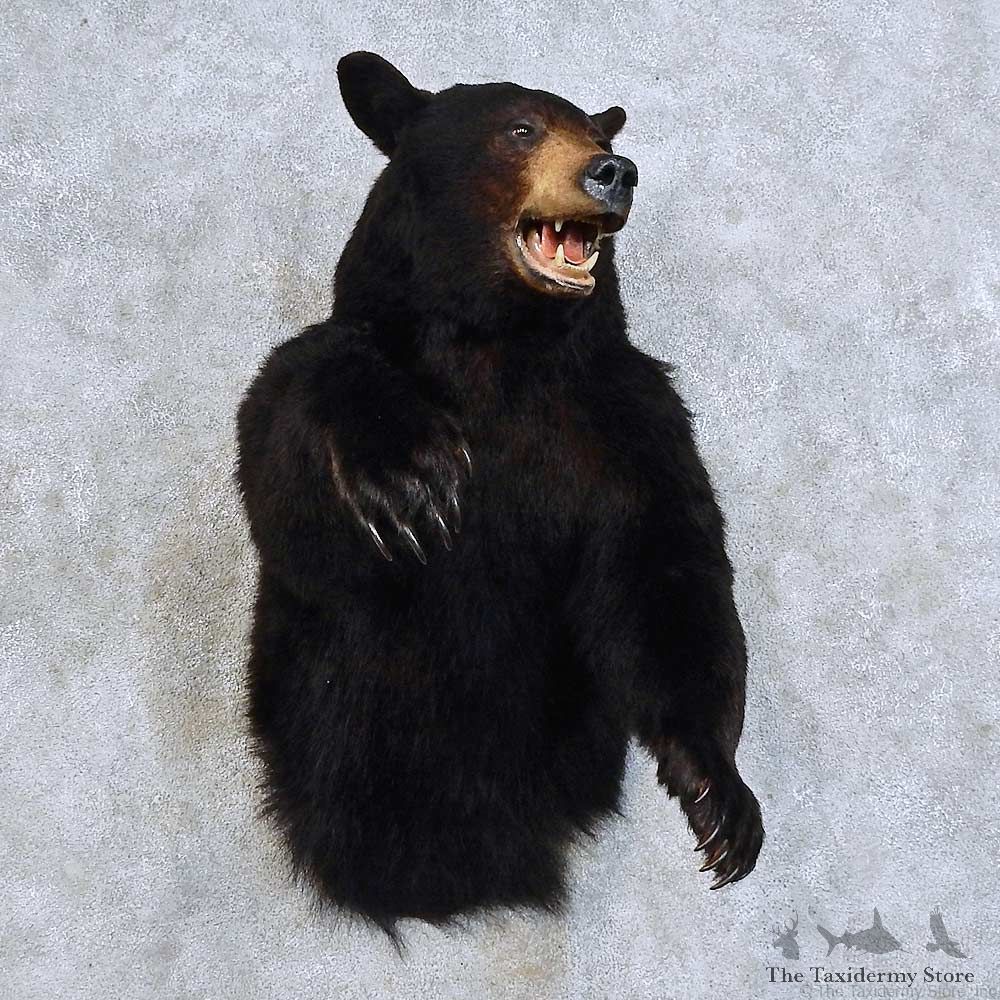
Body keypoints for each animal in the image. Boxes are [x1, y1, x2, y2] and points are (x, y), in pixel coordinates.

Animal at [235, 51, 764, 939]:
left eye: (596, 133)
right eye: (521, 130)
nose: (613, 171)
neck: (503, 353)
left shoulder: (628, 424)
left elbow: (670, 575)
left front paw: (719, 797)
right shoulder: (352, 364)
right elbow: (289, 455)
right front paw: (409, 479)